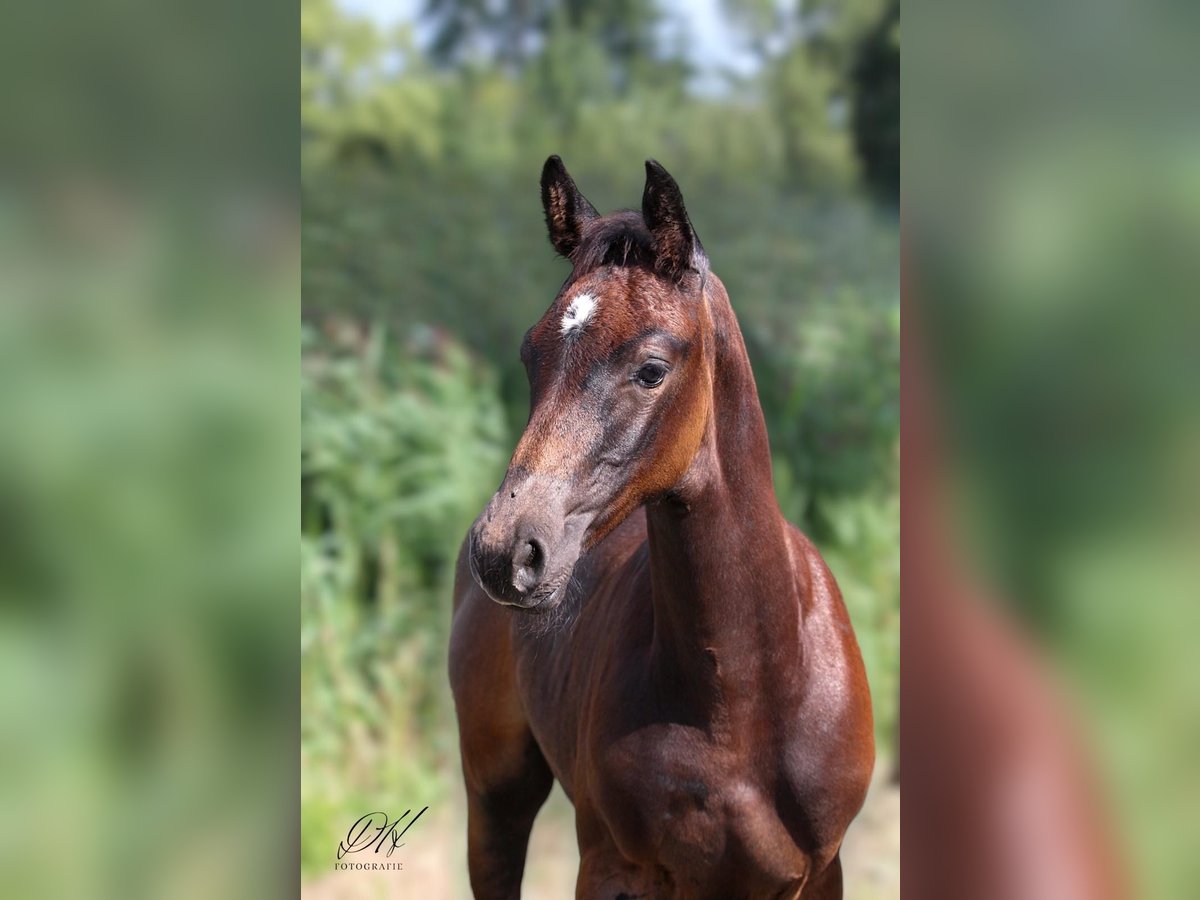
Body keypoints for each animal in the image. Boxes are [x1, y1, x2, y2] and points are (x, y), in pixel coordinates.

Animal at [451, 158, 873, 897]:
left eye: (651, 368)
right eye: (532, 354)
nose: (505, 552)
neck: (748, 696)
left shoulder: (822, 873)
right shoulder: (613, 865)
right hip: (494, 791)